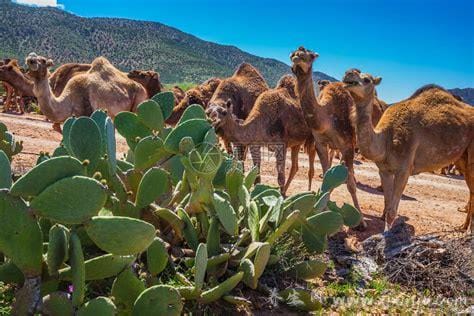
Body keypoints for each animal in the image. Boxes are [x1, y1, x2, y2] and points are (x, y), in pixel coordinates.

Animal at [288, 46, 362, 225]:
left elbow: (350, 185)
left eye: (310, 55)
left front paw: (361, 220)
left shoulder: (347, 146)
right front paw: (323, 208)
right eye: (293, 53)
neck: (326, 118)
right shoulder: (320, 144)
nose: (297, 56)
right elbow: (327, 176)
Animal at [342, 69, 474, 232]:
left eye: (367, 79)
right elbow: (387, 203)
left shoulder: (404, 169)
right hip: (462, 157)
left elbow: (392, 211)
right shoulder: (384, 170)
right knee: (471, 190)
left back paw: (469, 230)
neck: (385, 139)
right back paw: (463, 226)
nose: (348, 73)